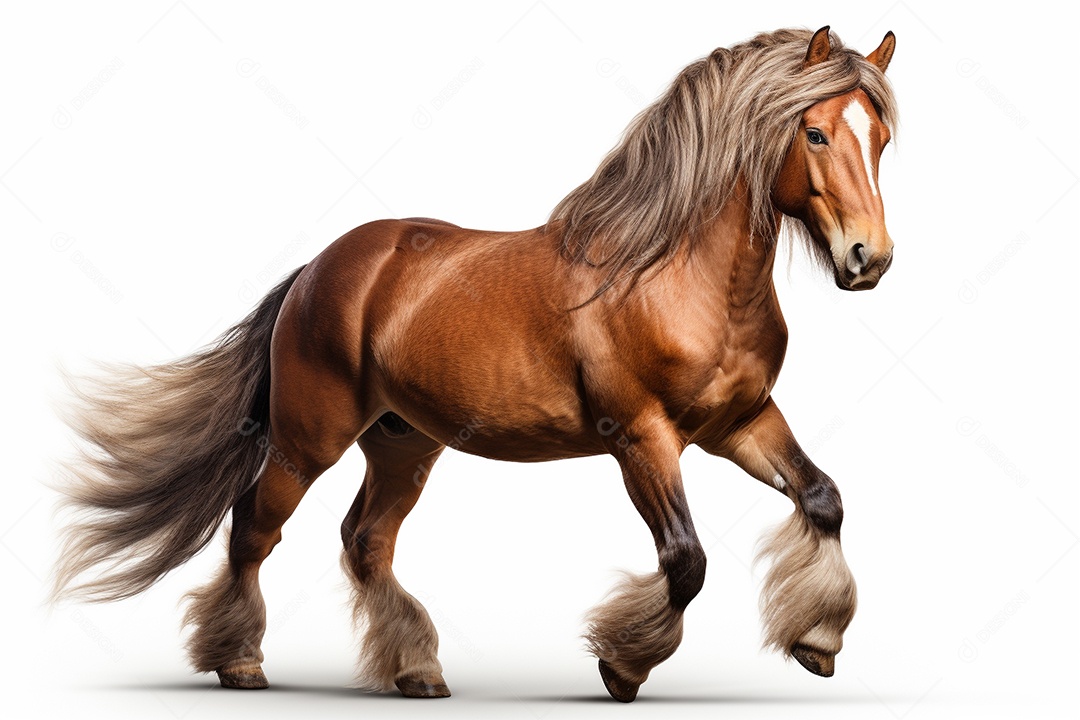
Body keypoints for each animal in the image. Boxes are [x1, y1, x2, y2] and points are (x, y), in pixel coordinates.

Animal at [53, 26, 898, 702]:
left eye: (882, 138)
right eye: (815, 133)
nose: (870, 258)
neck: (674, 275)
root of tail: (318, 269)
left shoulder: (740, 424)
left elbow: (823, 498)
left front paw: (817, 643)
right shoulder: (641, 437)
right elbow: (685, 560)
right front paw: (623, 666)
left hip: (403, 442)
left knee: (365, 540)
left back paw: (415, 671)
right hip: (308, 440)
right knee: (253, 530)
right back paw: (239, 662)